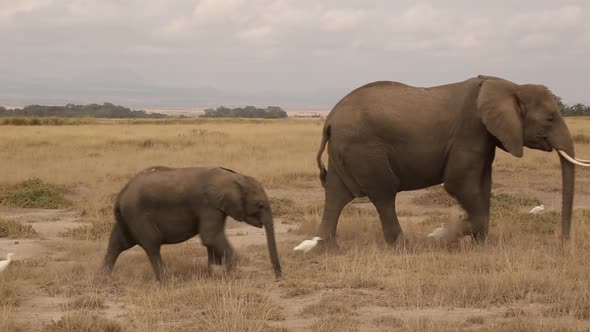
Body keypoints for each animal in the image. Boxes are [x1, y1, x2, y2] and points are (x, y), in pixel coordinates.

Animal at [100, 166, 284, 280]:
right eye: (260, 205)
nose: (278, 278)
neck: (234, 177)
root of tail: (121, 195)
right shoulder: (209, 205)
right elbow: (210, 237)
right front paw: (228, 275)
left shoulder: (217, 207)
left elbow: (212, 240)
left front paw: (214, 273)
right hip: (138, 215)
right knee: (152, 246)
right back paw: (169, 281)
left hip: (127, 218)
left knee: (117, 244)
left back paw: (102, 280)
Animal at [314, 74, 590, 246]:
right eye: (550, 118)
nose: (563, 243)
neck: (511, 85)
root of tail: (330, 120)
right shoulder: (469, 131)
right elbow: (459, 184)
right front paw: (439, 236)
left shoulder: (484, 136)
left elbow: (483, 185)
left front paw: (482, 246)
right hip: (365, 149)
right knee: (383, 194)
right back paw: (405, 247)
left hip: (348, 150)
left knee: (336, 194)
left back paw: (326, 248)